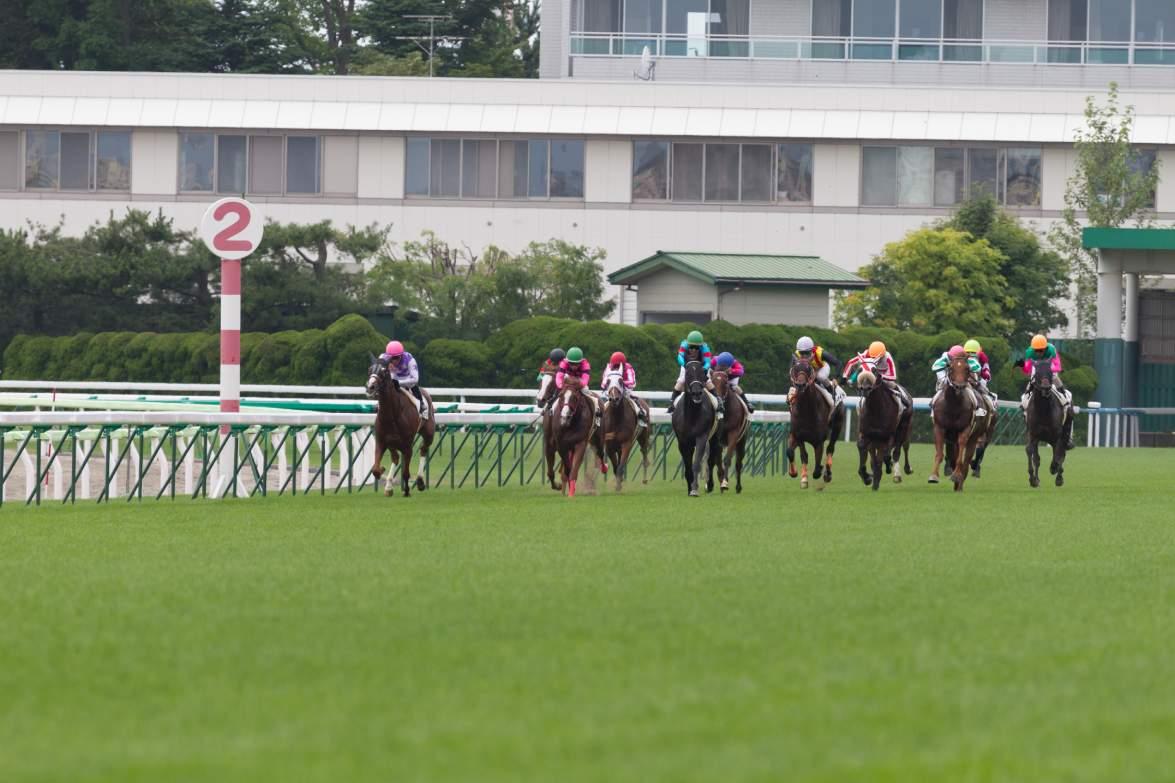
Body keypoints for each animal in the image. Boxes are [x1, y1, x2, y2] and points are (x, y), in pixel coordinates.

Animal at [364, 357, 434, 496]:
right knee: (395, 458)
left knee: (423, 449)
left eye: (384, 371)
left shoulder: (407, 445)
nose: (370, 387)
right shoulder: (381, 441)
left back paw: (420, 481)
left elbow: (406, 472)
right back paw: (389, 487)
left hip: (429, 434)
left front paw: (406, 491)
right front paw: (382, 472)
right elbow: (375, 469)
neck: (391, 415)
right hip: (392, 443)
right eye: (370, 369)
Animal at [672, 357, 714, 493]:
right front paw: (690, 487)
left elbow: (696, 464)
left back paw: (709, 485)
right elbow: (688, 467)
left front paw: (694, 489)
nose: (696, 393)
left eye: (702, 373)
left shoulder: (702, 437)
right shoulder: (683, 441)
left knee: (711, 459)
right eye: (688, 374)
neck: (692, 416)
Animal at [789, 357, 845, 489]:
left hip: (838, 425)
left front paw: (821, 469)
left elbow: (817, 468)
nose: (800, 385)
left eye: (808, 369)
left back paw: (827, 474)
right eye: (795, 368)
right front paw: (803, 478)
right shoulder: (799, 436)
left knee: (830, 448)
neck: (806, 410)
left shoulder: (819, 441)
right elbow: (803, 455)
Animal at [930, 352, 996, 489]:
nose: (959, 386)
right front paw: (933, 476)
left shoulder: (965, 429)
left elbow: (961, 456)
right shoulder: (939, 428)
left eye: (967, 369)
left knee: (967, 460)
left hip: (976, 436)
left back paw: (960, 480)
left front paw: (956, 476)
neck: (953, 405)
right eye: (950, 367)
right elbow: (939, 454)